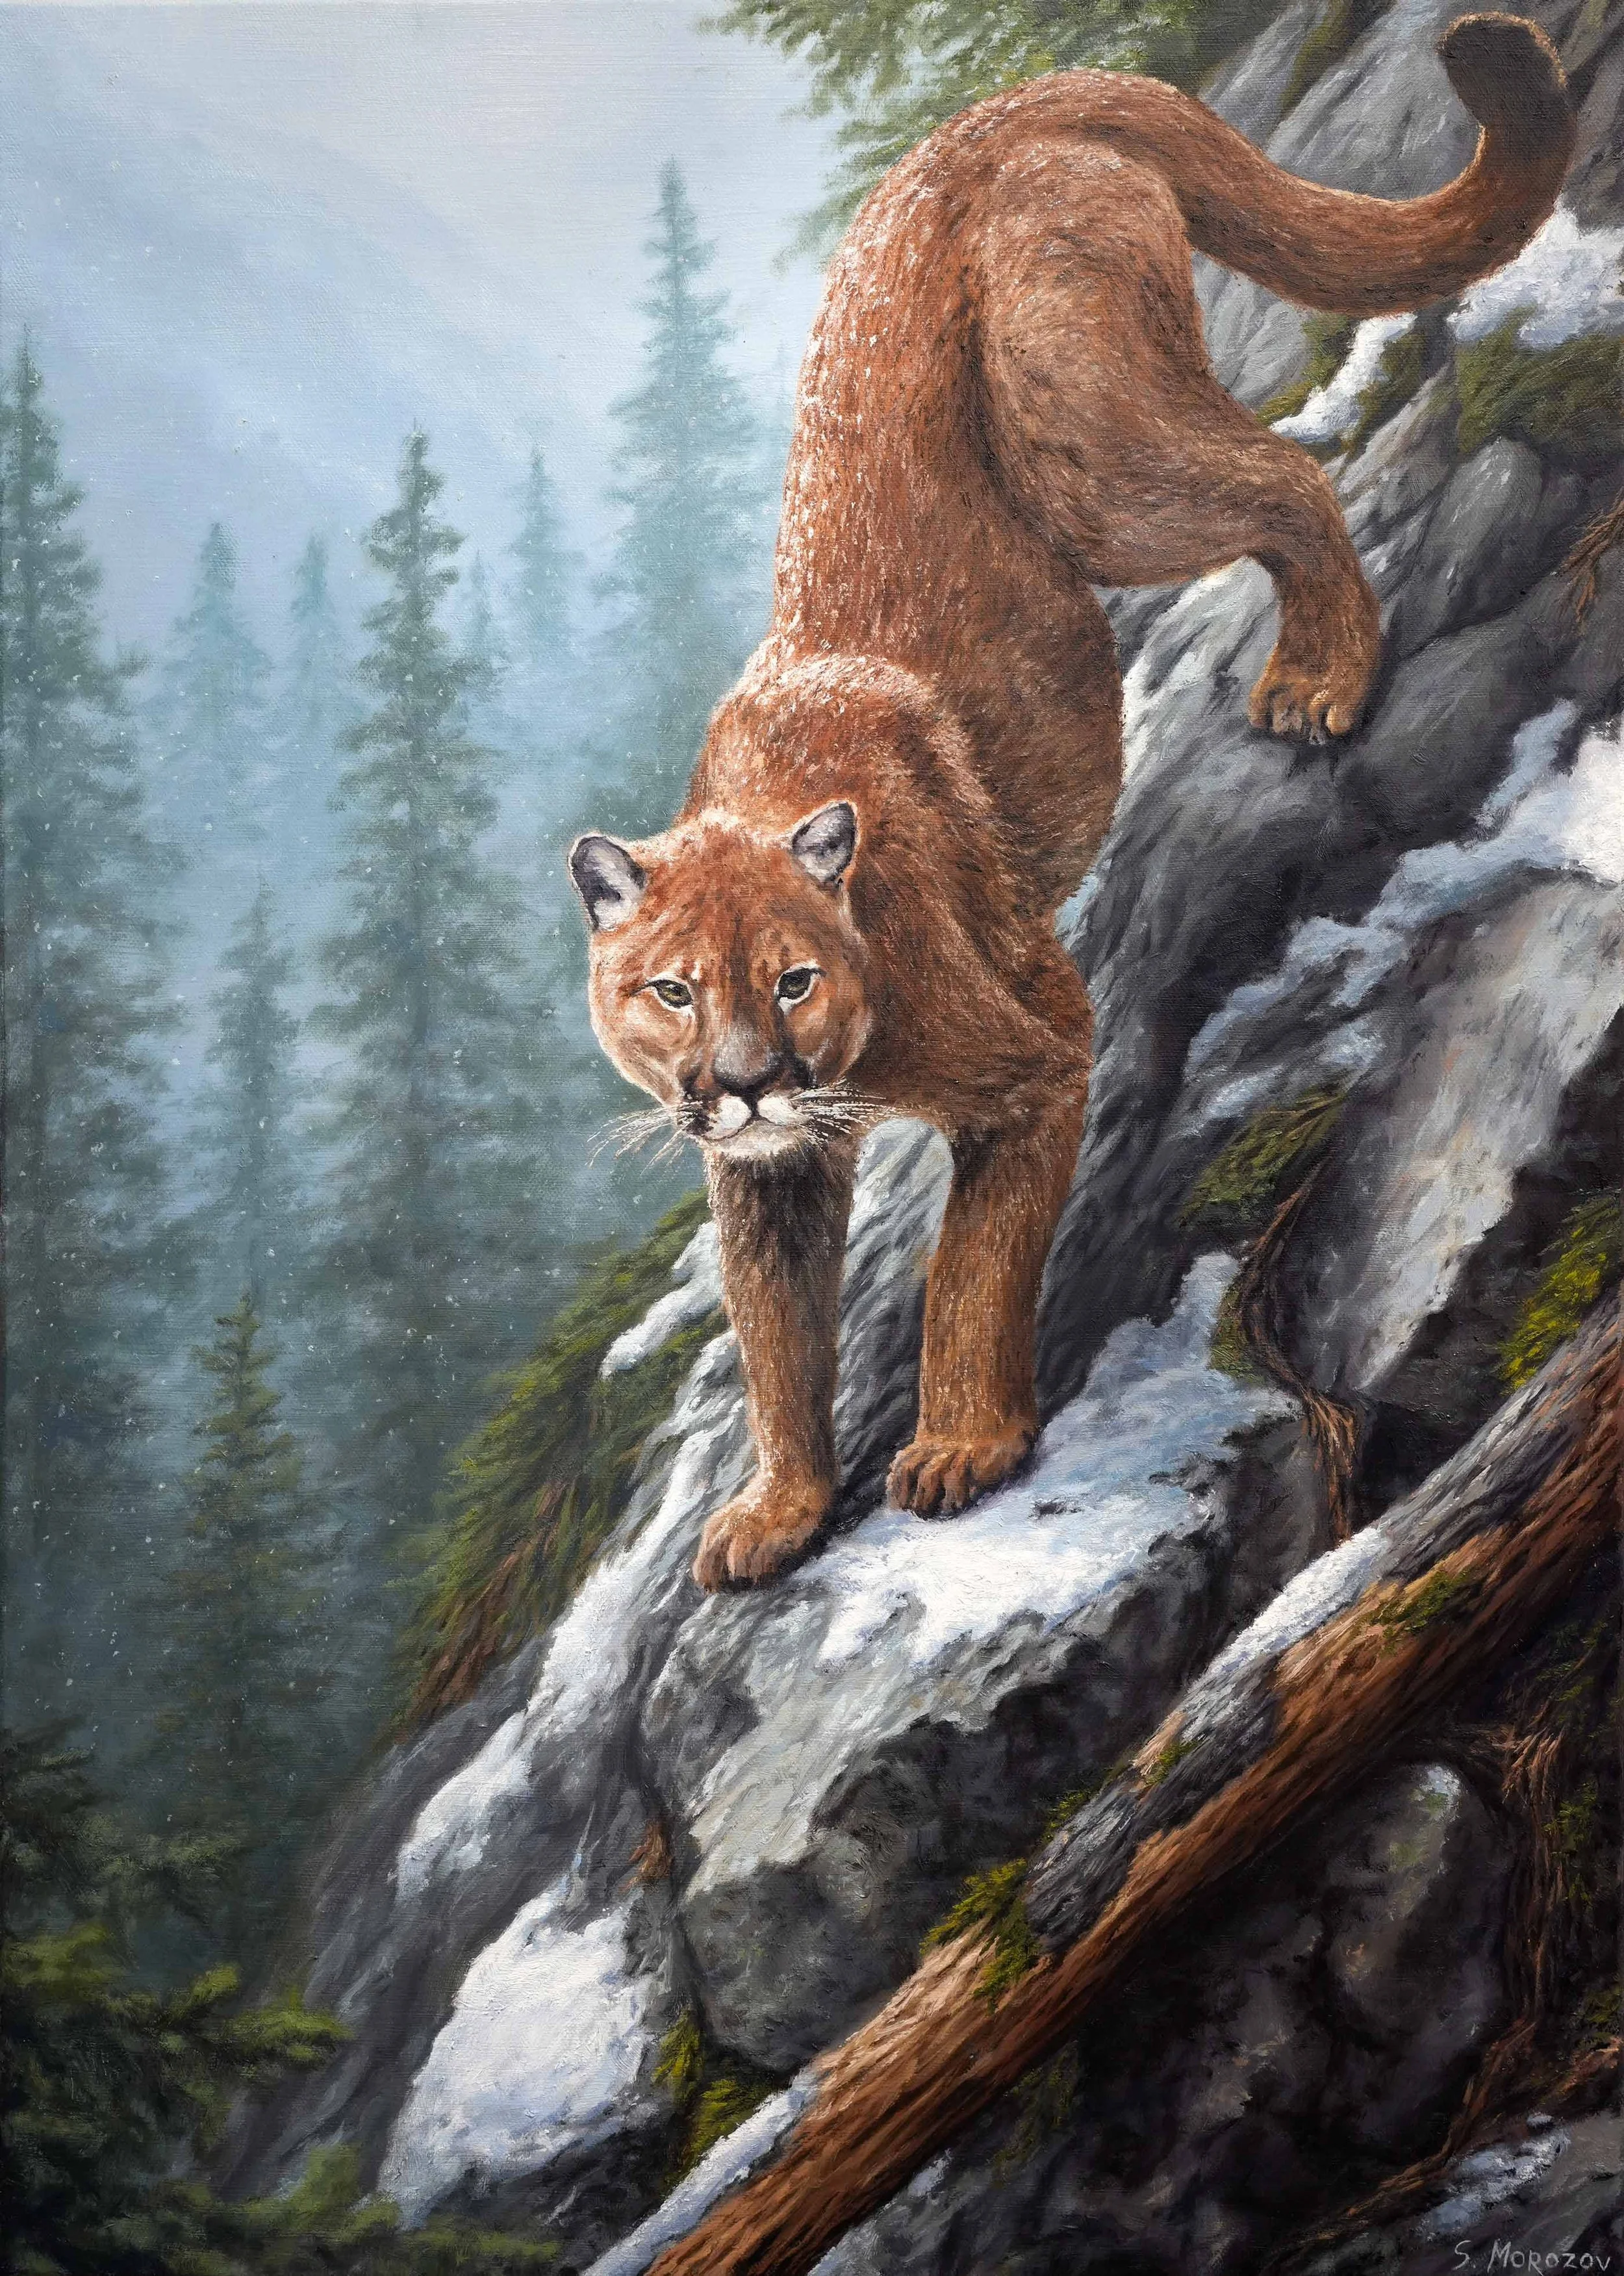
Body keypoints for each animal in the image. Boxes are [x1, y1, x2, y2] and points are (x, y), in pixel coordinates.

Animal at [570, 15, 1573, 1589]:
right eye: (670, 990)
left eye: (791, 978)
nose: (738, 1079)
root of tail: (984, 124)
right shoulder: (767, 1176)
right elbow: (779, 1340)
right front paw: (779, 1511)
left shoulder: (1033, 1058)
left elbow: (972, 1272)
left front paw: (963, 1446)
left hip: (1085, 434)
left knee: (1283, 474)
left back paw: (1318, 678)